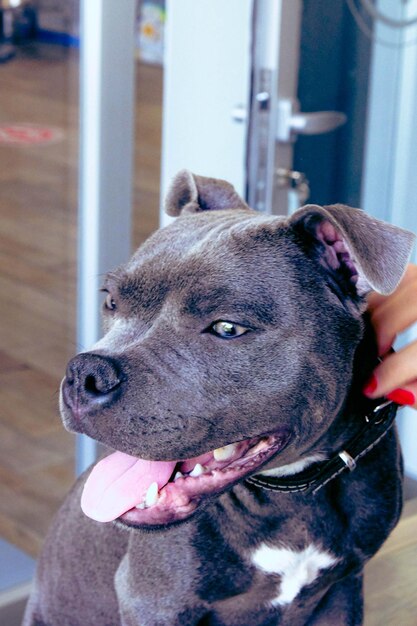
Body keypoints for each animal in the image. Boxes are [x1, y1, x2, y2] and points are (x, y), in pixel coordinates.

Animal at [24, 171, 414, 624]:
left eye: (227, 328)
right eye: (111, 301)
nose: (84, 374)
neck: (291, 492)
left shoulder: (343, 590)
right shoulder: (155, 600)